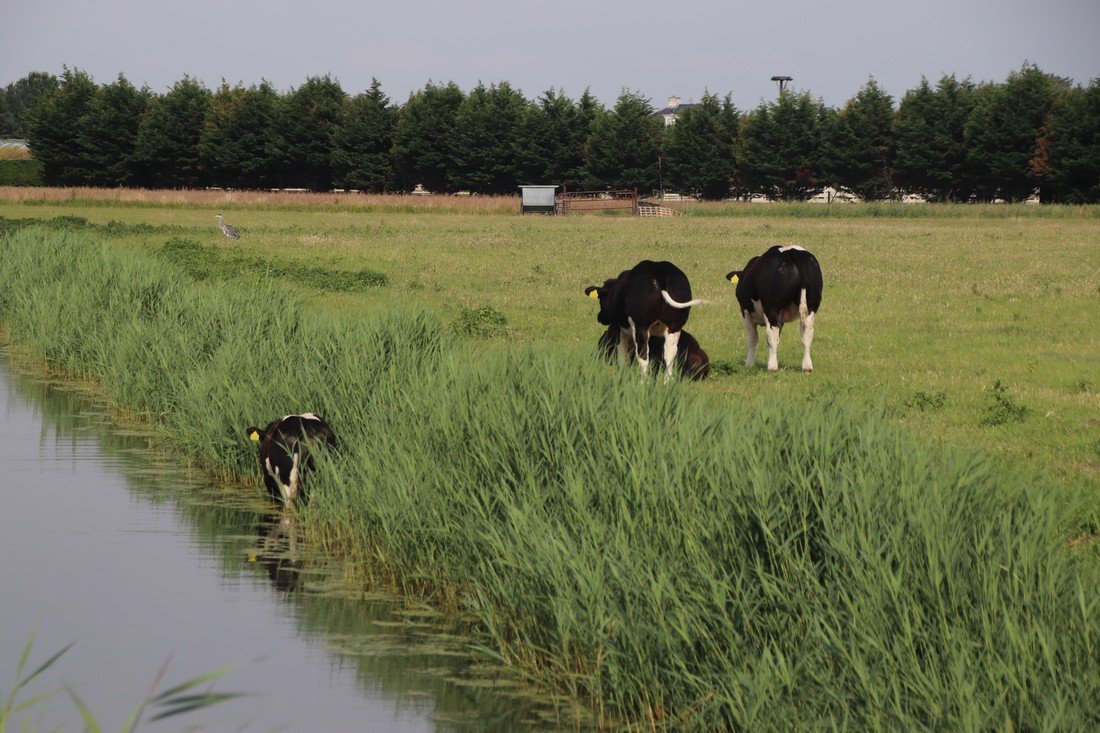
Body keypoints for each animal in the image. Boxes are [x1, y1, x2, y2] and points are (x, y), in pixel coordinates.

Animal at [726, 244, 822, 372]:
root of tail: (792, 251)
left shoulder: (745, 311)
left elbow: (752, 338)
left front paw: (749, 364)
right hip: (810, 307)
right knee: (807, 334)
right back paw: (807, 367)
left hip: (772, 309)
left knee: (772, 336)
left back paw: (772, 366)